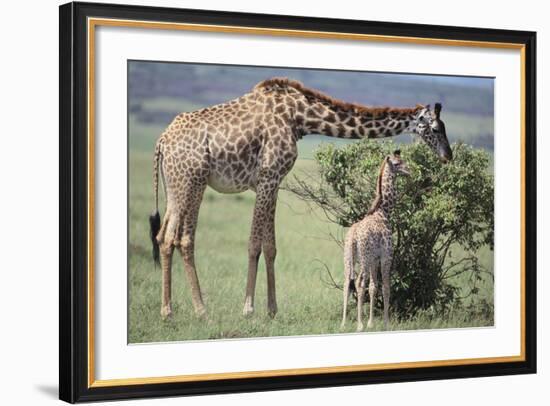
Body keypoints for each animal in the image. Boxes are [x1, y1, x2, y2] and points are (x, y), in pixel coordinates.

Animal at [342, 151, 412, 332]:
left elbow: (374, 287)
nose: (409, 171)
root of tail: (353, 235)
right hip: (364, 258)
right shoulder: (386, 256)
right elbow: (386, 287)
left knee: (347, 283)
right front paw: (386, 323)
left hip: (348, 258)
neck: (383, 212)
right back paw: (359, 325)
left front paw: (371, 323)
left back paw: (343, 324)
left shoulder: (375, 259)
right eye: (397, 163)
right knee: (359, 282)